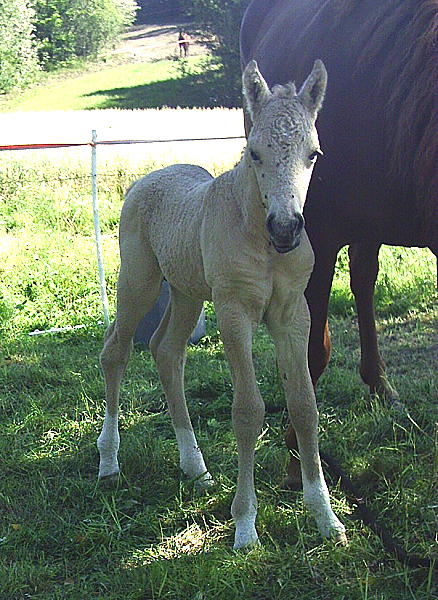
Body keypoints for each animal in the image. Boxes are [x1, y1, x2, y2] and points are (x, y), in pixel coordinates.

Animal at [241, 0, 436, 488]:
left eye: (313, 153)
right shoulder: (316, 239)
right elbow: (310, 351)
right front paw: (299, 461)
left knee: (364, 279)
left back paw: (381, 385)